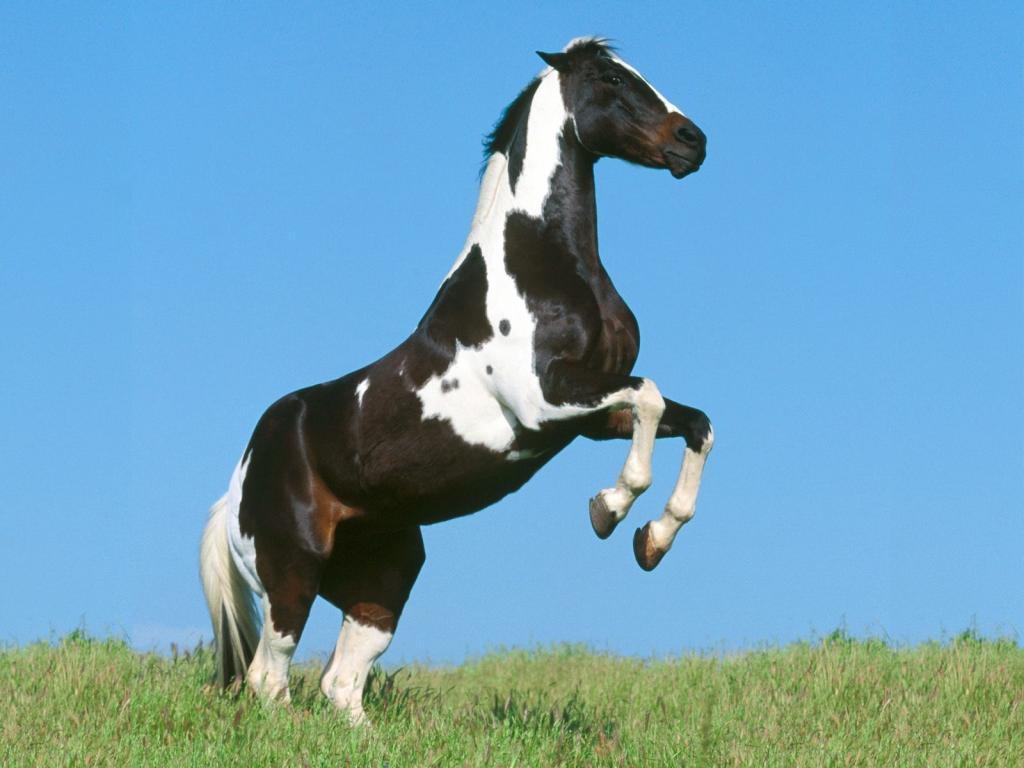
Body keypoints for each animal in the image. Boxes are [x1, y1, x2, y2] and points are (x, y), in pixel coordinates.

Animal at [200, 37, 713, 725]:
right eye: (610, 78)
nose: (693, 141)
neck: (539, 268)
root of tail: (236, 486)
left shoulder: (594, 414)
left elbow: (694, 423)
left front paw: (652, 541)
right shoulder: (545, 403)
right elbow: (652, 398)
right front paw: (609, 510)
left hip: (385, 576)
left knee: (342, 683)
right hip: (292, 575)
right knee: (269, 679)